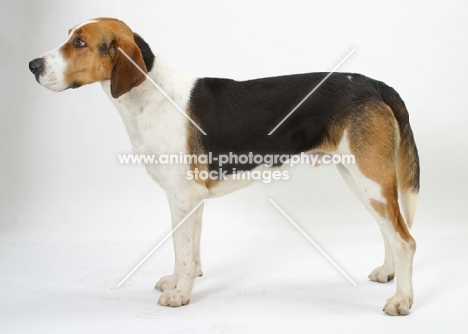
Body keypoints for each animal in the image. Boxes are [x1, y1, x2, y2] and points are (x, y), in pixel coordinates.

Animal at [28, 18, 420, 316]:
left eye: (79, 42)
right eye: (68, 35)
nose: (32, 66)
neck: (151, 95)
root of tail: (373, 84)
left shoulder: (182, 197)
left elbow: (182, 252)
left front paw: (179, 295)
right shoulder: (192, 200)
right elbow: (189, 252)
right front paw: (178, 283)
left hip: (370, 181)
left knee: (406, 240)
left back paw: (401, 300)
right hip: (362, 180)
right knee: (390, 231)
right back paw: (388, 273)